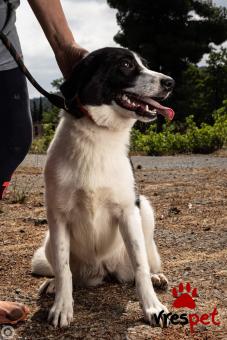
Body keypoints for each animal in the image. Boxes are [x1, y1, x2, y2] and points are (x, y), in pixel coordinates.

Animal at [31, 47, 175, 326]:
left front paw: (152, 306)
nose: (170, 82)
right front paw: (62, 306)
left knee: (143, 265)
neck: (99, 133)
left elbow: (140, 267)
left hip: (145, 214)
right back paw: (52, 285)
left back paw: (156, 277)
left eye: (145, 64)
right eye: (126, 64)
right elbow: (63, 270)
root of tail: (102, 270)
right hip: (49, 240)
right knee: (65, 271)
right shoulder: (58, 216)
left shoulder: (128, 212)